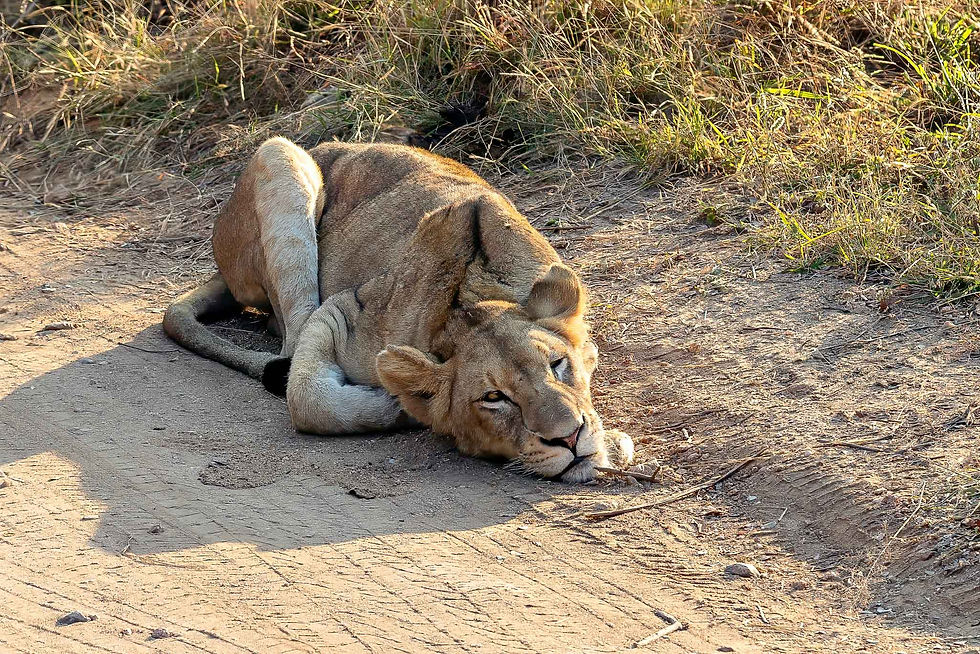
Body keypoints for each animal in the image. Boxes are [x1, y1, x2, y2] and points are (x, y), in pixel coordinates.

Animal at [163, 138, 633, 482]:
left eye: (557, 364)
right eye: (493, 398)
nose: (569, 438)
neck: (471, 302)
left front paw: (611, 440)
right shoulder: (344, 310)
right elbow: (310, 399)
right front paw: (398, 408)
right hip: (279, 158)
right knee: (288, 348)